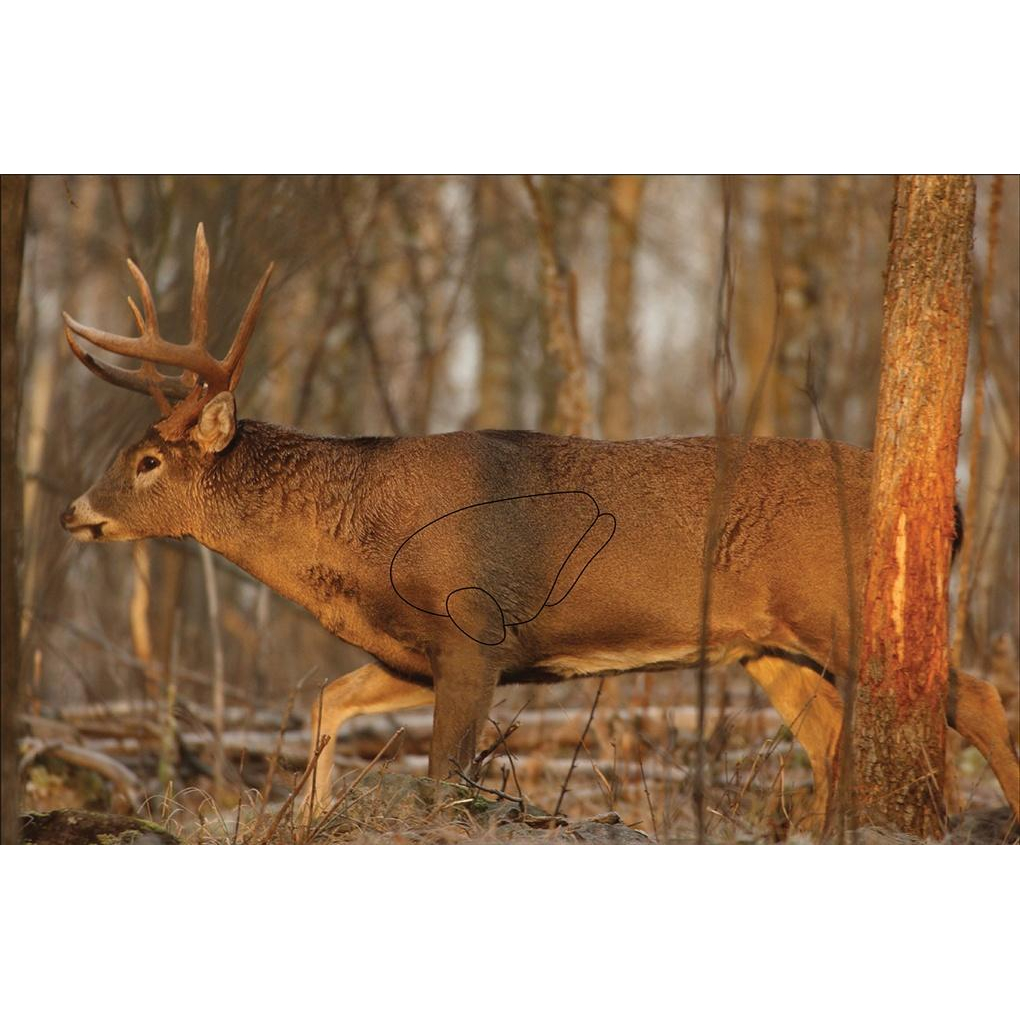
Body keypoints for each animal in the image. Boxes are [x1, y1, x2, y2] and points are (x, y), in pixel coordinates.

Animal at [60, 225, 1020, 833]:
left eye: (148, 460)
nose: (74, 512)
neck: (358, 543)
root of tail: (952, 506)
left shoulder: (475, 630)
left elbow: (447, 783)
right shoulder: (415, 652)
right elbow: (328, 701)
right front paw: (312, 817)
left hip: (842, 609)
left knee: (972, 696)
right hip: (765, 645)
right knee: (830, 740)